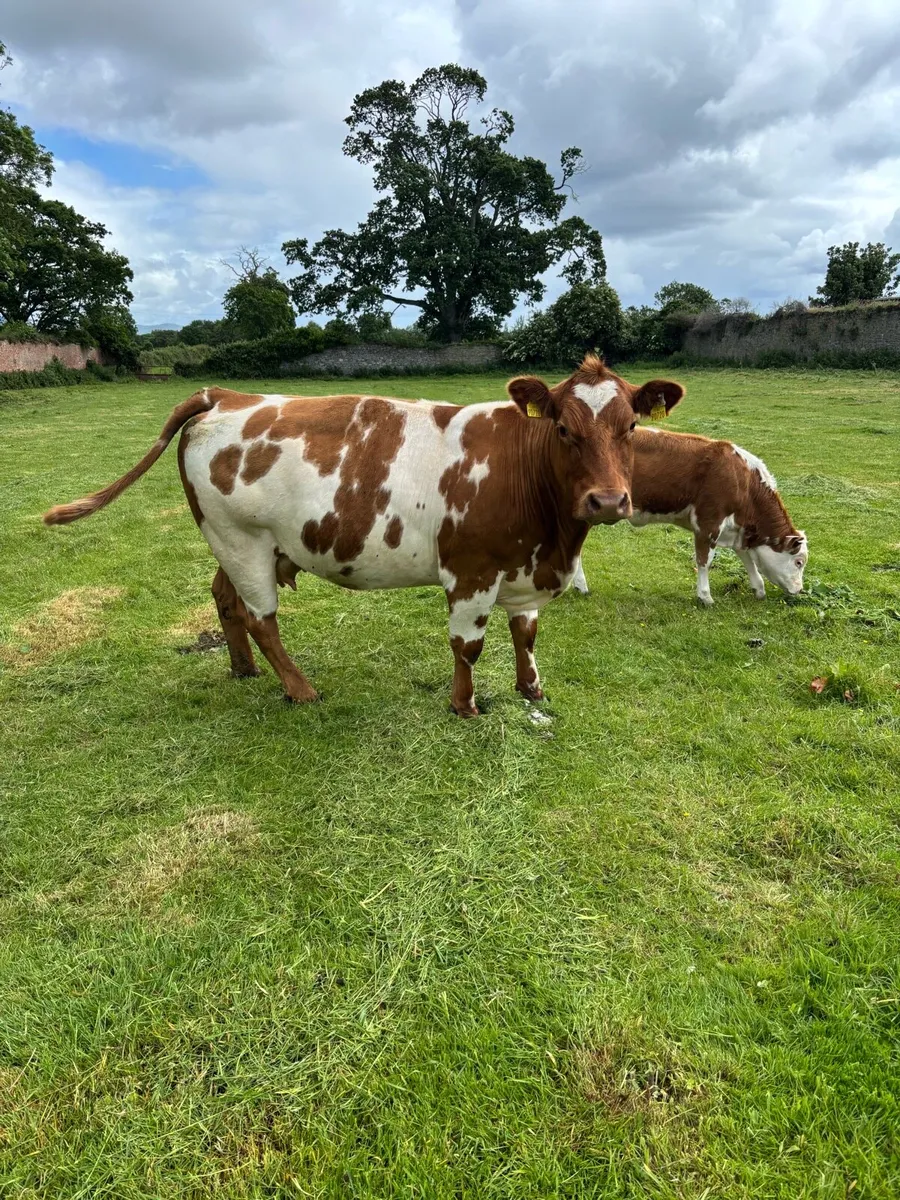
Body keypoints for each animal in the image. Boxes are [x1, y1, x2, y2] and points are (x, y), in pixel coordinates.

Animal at [43, 356, 684, 715]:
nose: (608, 500)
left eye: (631, 426)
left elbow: (525, 636)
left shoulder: (526, 572)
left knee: (225, 599)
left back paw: (245, 670)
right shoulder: (471, 570)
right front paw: (465, 705)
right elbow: (468, 646)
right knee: (260, 616)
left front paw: (532, 689)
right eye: (562, 428)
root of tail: (226, 395)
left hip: (238, 542)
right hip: (241, 540)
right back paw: (299, 688)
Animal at [570, 427, 807, 604]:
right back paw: (580, 585)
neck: (744, 482)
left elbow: (747, 558)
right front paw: (705, 596)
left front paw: (758, 589)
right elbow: (704, 560)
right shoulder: (708, 522)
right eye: (799, 562)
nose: (800, 590)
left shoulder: (736, 529)